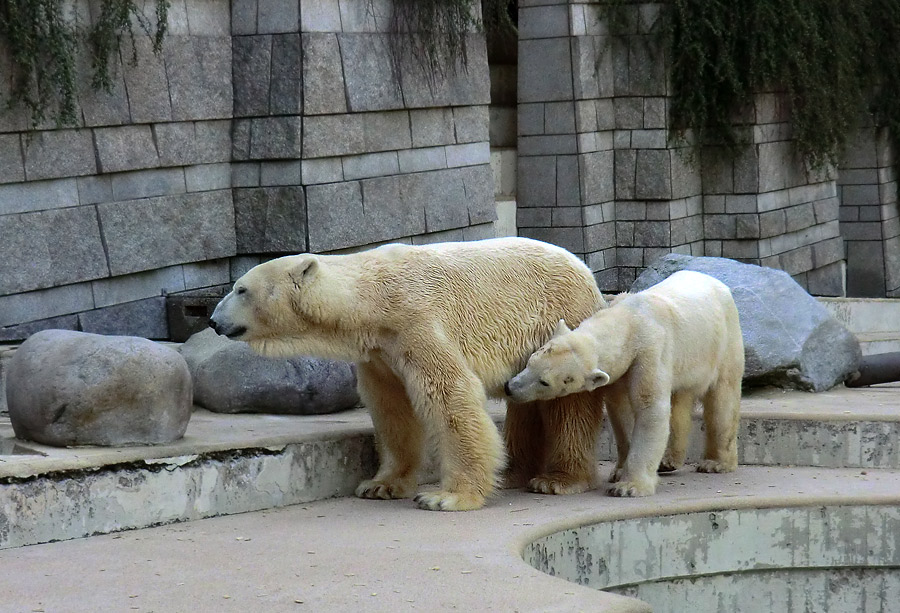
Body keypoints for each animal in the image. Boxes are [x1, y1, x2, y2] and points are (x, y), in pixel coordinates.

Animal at [207, 237, 608, 510]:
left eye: (241, 289)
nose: (212, 321)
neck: (370, 300)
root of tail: (584, 269)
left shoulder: (416, 321)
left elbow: (450, 394)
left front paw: (447, 496)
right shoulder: (381, 352)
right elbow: (391, 408)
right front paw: (380, 485)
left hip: (563, 318)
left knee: (569, 404)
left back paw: (558, 480)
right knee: (523, 402)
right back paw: (512, 472)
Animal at [506, 272, 744, 498]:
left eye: (545, 382)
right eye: (530, 361)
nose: (510, 387)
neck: (630, 319)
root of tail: (718, 283)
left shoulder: (650, 351)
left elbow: (650, 408)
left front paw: (628, 487)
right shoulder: (619, 371)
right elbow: (620, 411)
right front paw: (619, 471)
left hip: (723, 342)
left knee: (722, 401)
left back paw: (716, 463)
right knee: (679, 400)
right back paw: (669, 461)